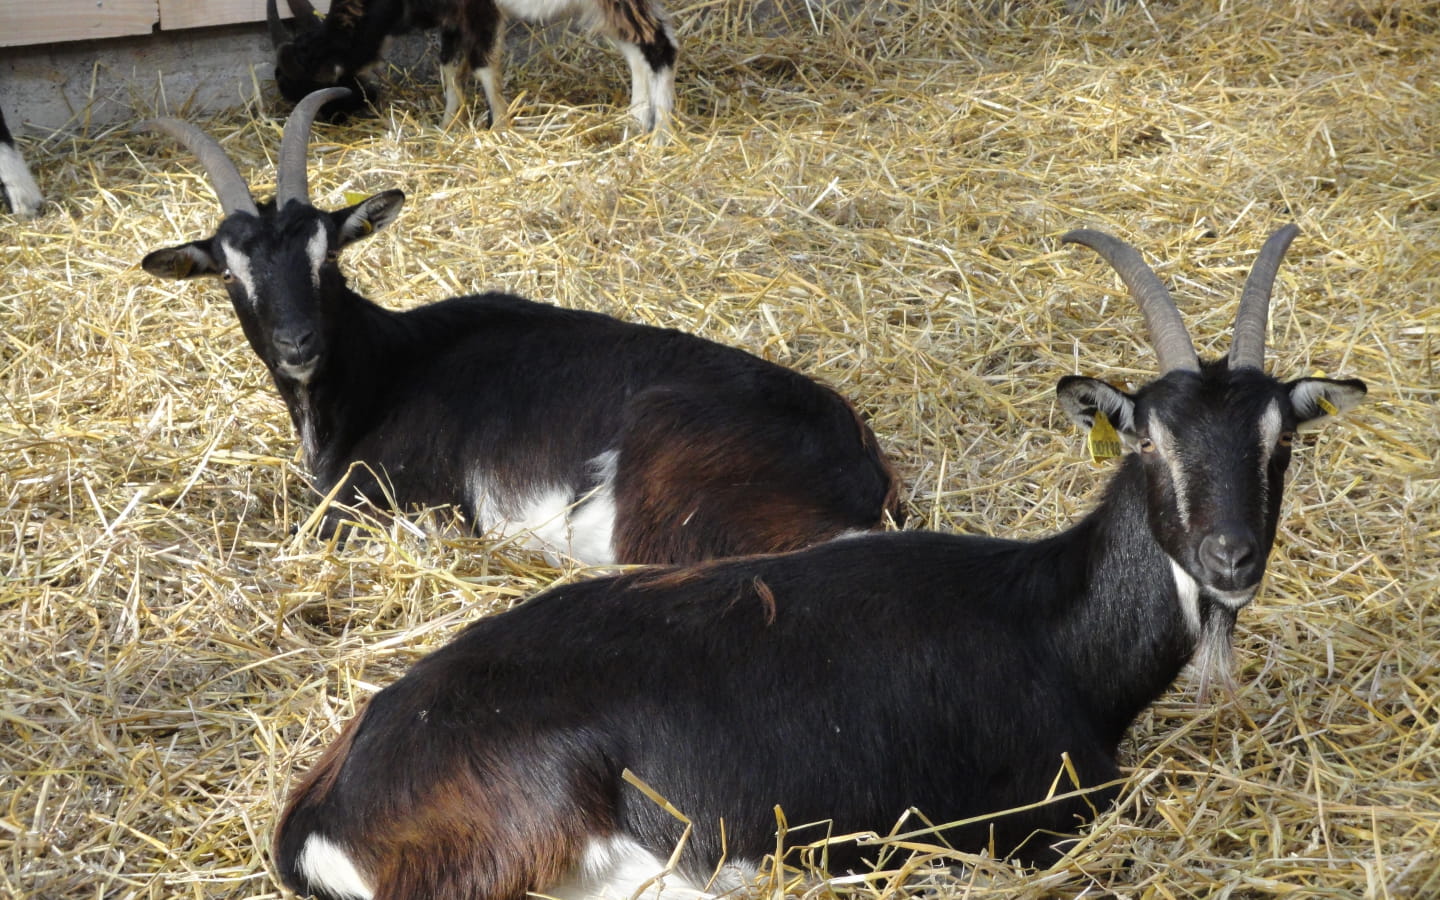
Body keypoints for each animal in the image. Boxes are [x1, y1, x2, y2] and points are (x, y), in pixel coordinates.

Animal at [137, 91, 898, 564]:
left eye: (327, 258)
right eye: (230, 274)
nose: (298, 343)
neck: (384, 367)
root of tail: (861, 474)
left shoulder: (388, 497)